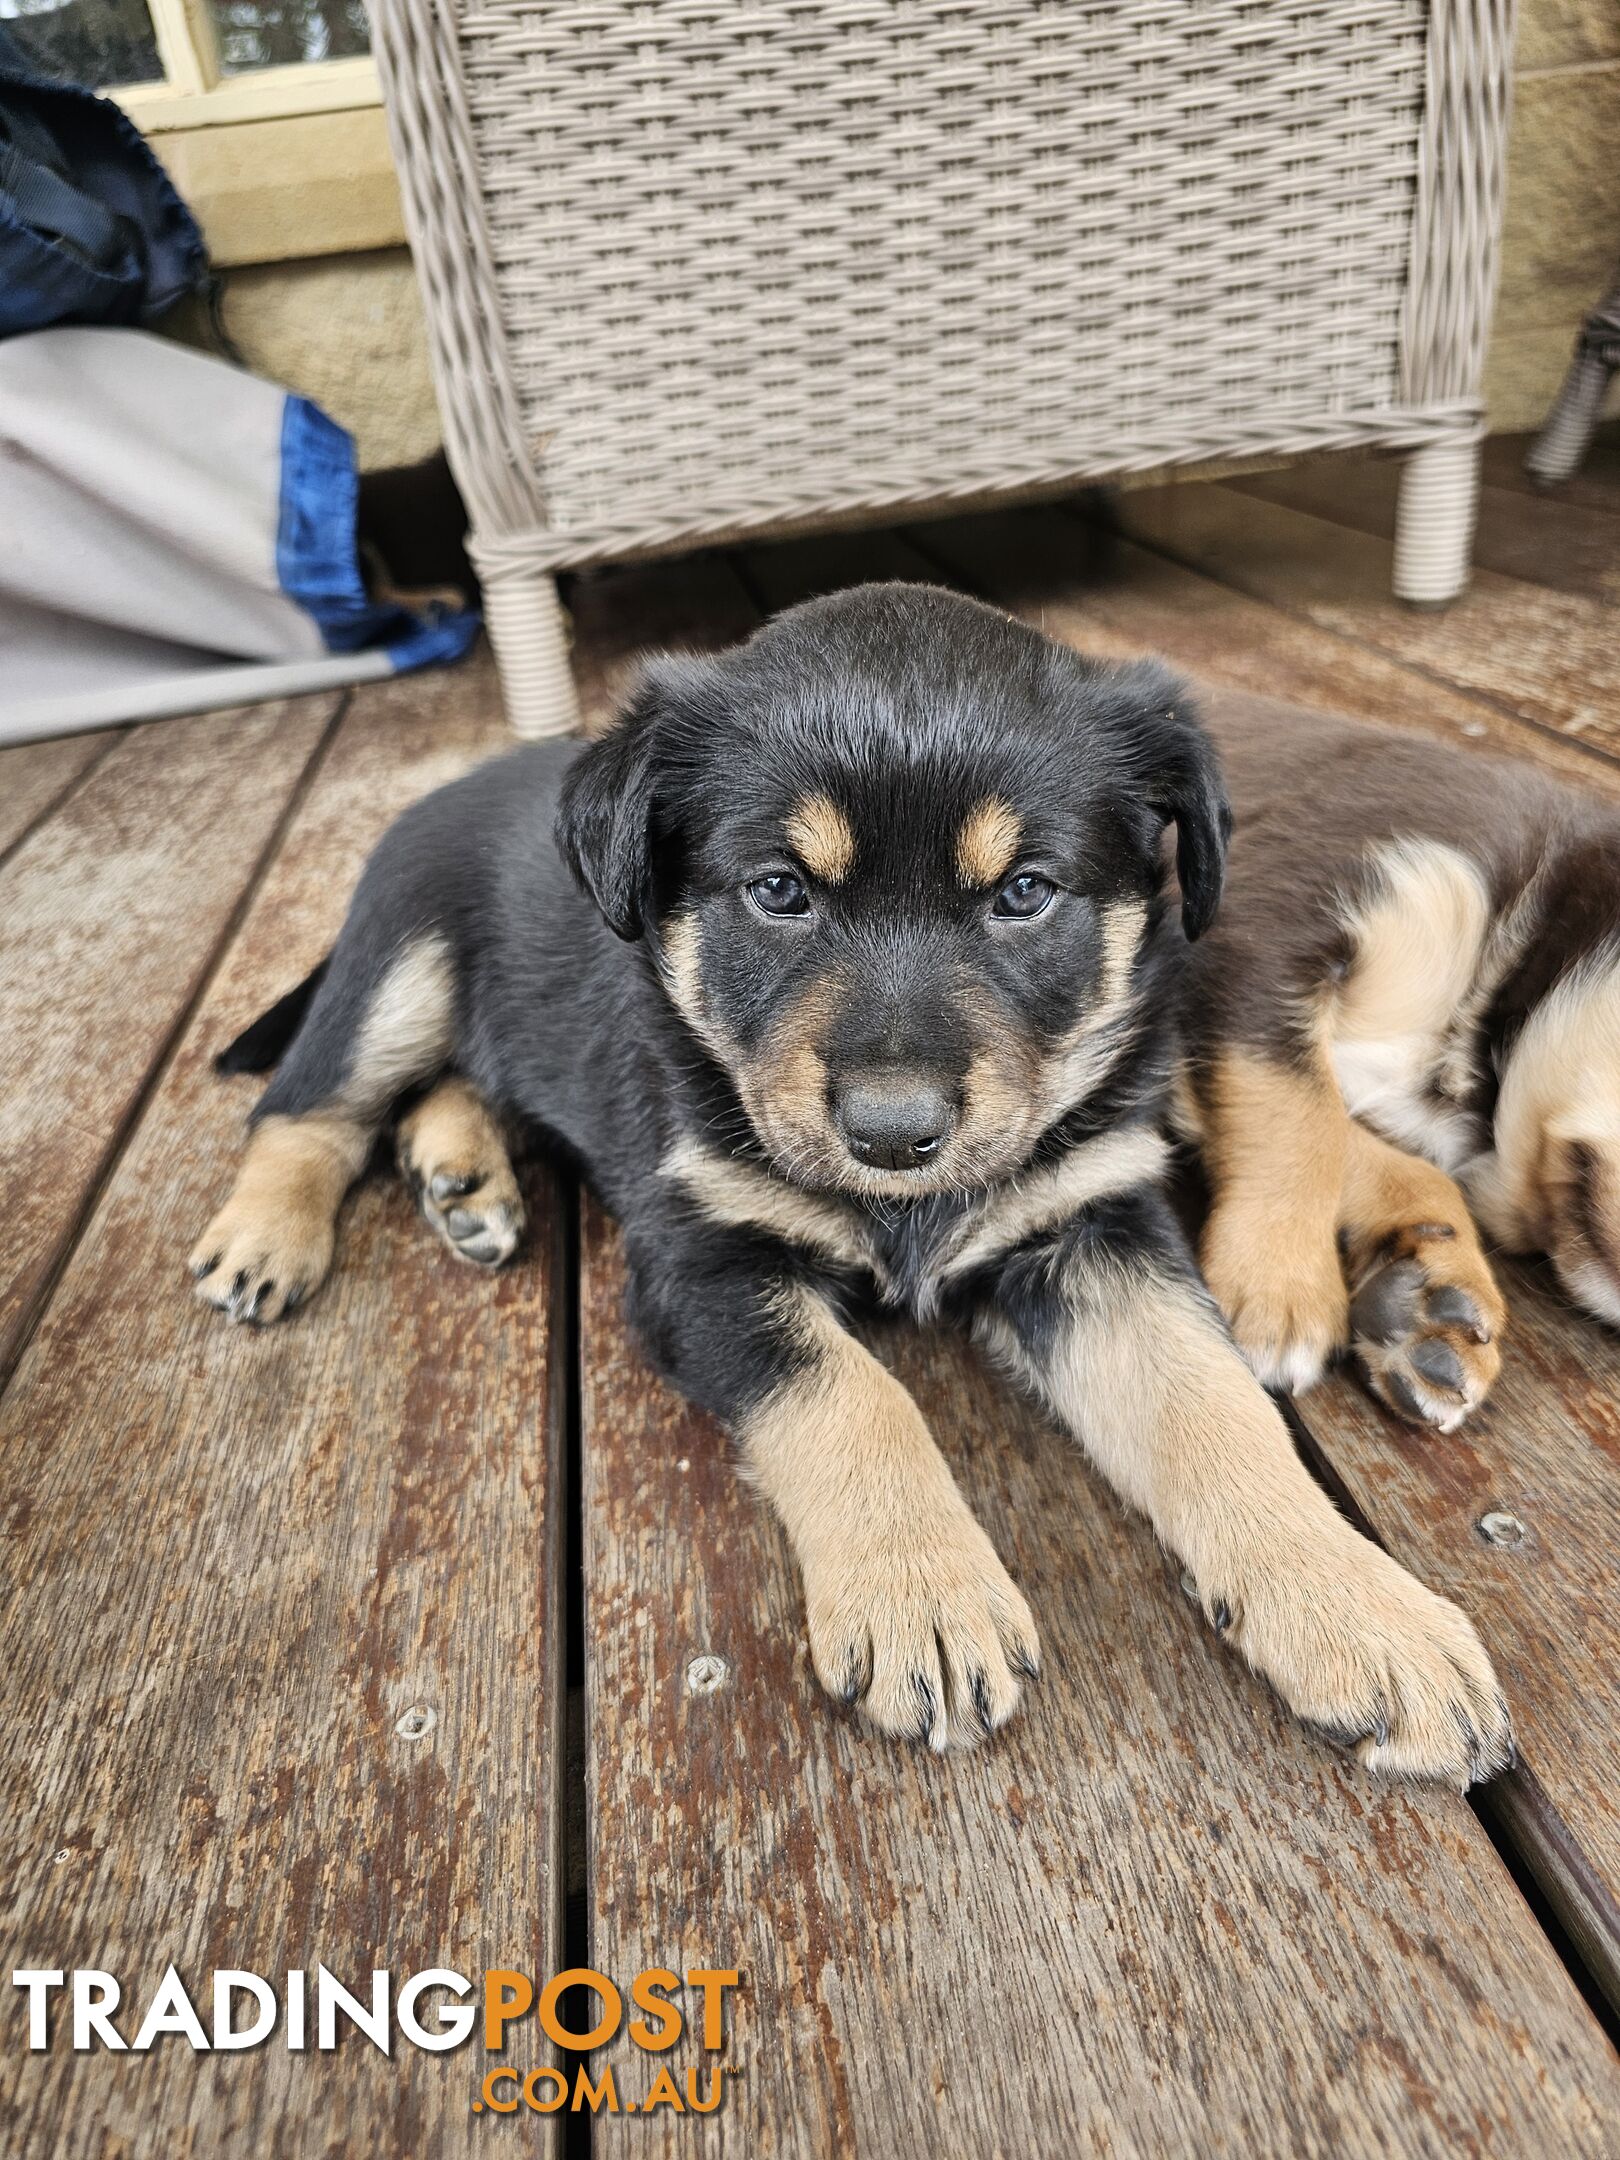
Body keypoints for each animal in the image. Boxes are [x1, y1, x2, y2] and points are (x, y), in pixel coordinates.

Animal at [190, 583, 1512, 1779]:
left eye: (1025, 892)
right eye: (780, 890)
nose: (892, 1134)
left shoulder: (1093, 1229)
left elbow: (1217, 1407)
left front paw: (1365, 1614)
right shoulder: (701, 1262)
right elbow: (855, 1397)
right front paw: (926, 1599)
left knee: (458, 1080)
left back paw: (462, 1173)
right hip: (399, 960)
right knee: (310, 1102)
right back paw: (265, 1239)